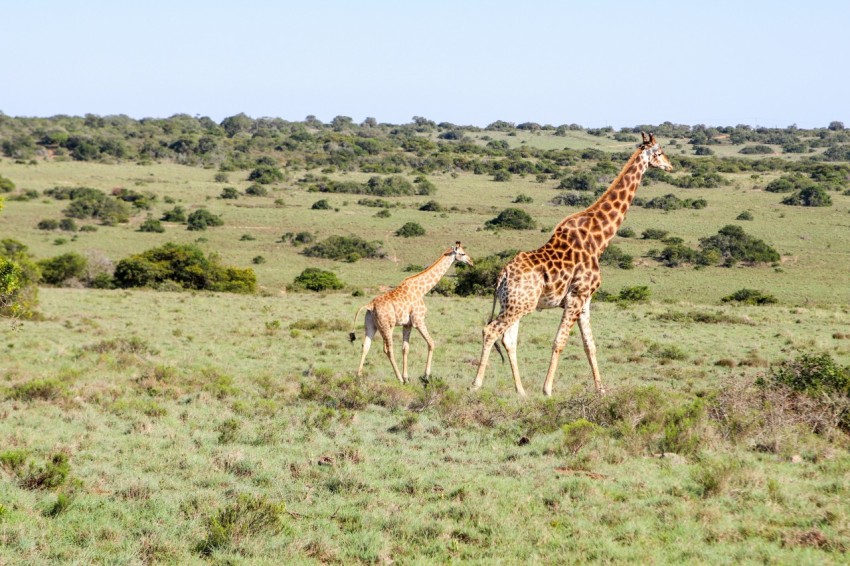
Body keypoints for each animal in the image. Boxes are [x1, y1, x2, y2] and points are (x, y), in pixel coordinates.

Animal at [350, 242, 474, 383]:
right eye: (463, 253)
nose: (471, 262)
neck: (422, 290)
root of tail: (370, 305)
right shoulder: (418, 320)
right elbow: (431, 343)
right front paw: (426, 375)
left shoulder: (407, 324)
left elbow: (405, 348)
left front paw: (407, 378)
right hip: (387, 326)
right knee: (388, 349)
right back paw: (398, 378)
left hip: (371, 325)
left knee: (366, 345)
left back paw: (359, 376)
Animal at [472, 132, 673, 397]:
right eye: (659, 152)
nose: (670, 166)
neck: (599, 240)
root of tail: (502, 274)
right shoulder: (576, 296)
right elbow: (559, 341)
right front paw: (547, 389)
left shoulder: (585, 300)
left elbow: (590, 345)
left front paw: (601, 390)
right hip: (519, 305)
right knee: (491, 330)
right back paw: (475, 385)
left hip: (515, 303)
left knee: (508, 339)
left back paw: (521, 391)